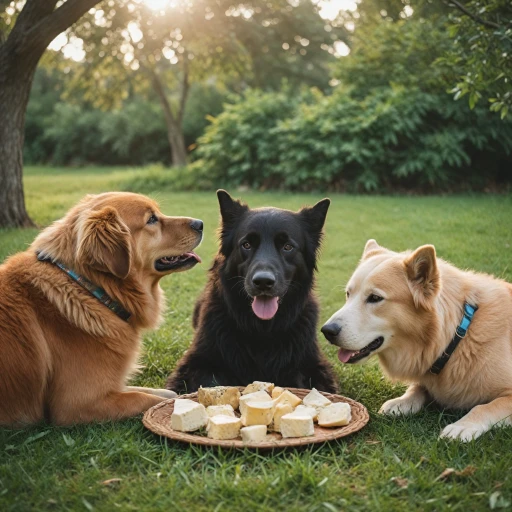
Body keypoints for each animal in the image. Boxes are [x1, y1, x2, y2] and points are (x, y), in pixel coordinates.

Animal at [0, 192, 204, 428]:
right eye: (152, 219)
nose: (200, 223)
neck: (88, 289)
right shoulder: (77, 404)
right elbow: (143, 398)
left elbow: (158, 392)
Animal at [166, 190, 338, 394]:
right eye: (246, 245)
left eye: (287, 247)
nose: (263, 282)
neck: (261, 331)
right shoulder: (196, 363)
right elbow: (211, 381)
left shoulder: (314, 367)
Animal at [320, 239, 512, 440]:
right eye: (348, 294)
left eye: (375, 298)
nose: (326, 331)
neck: (456, 339)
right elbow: (417, 387)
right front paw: (402, 402)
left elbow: (485, 407)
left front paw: (463, 425)